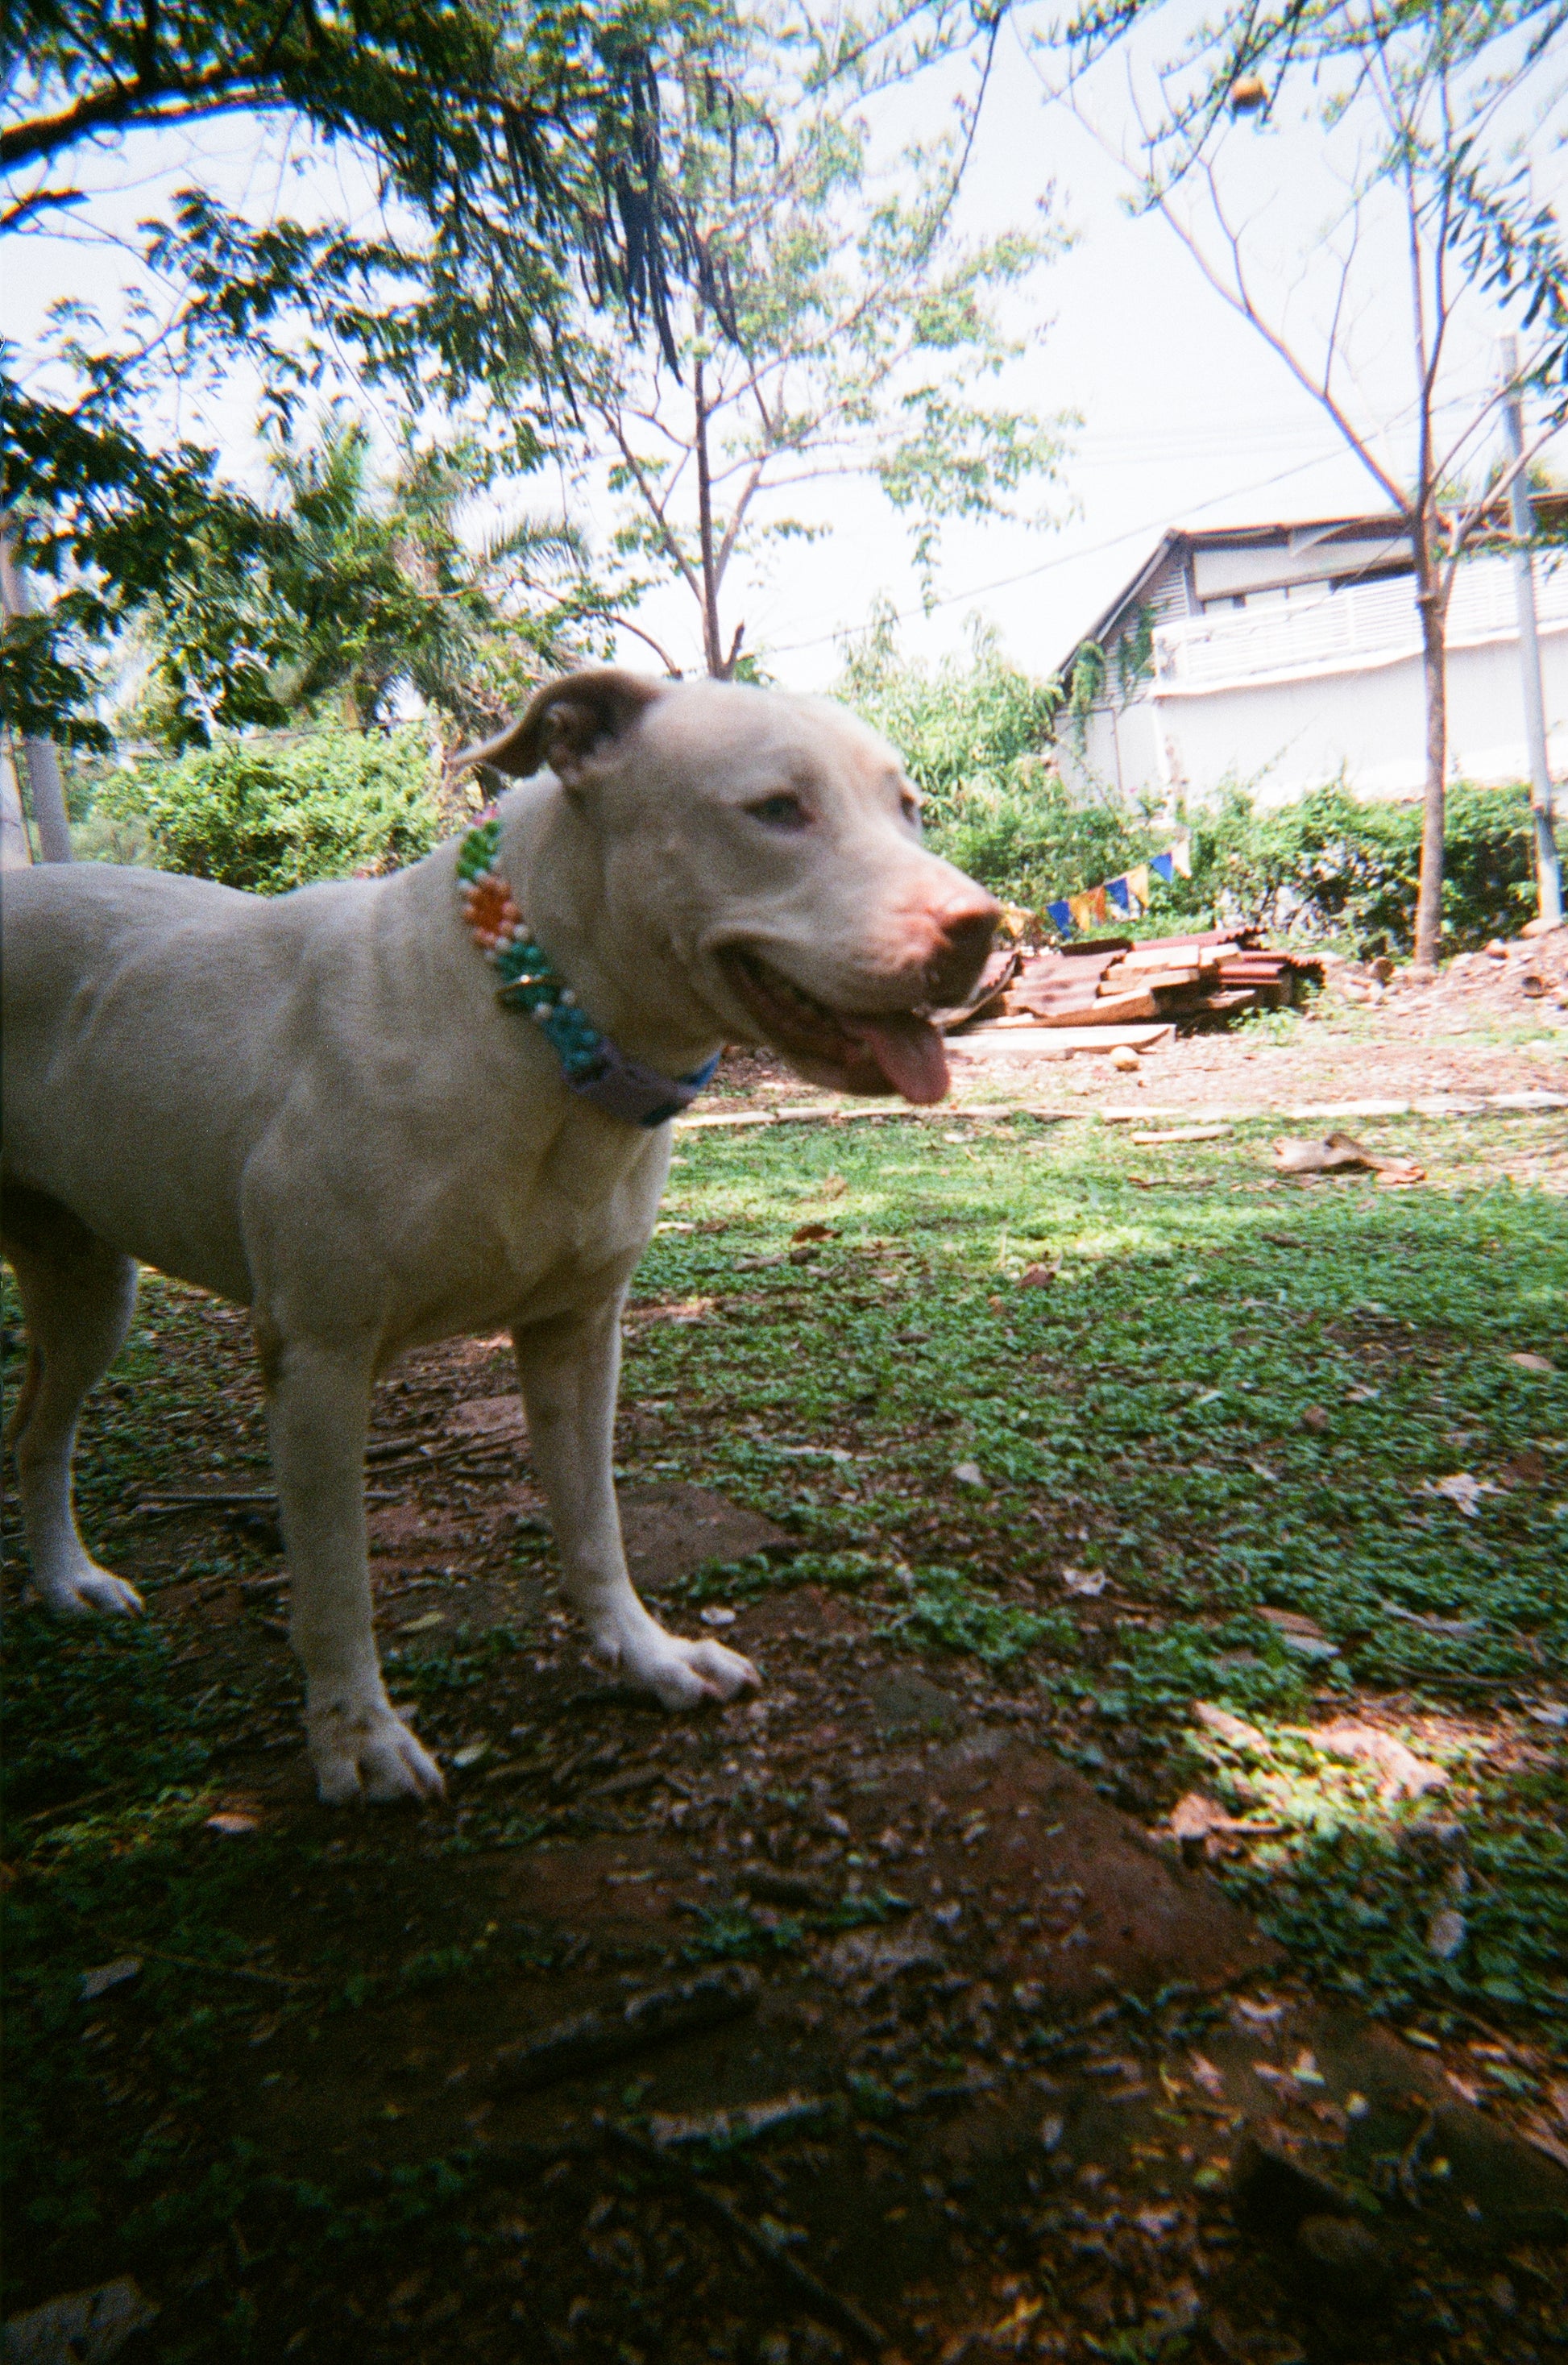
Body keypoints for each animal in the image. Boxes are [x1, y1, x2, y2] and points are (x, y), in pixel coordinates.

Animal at [0, 676, 998, 1797]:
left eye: (908, 808)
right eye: (777, 809)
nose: (980, 927)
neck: (540, 1028)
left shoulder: (577, 1334)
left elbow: (594, 1522)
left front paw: (643, 1654)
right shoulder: (319, 1360)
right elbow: (335, 1578)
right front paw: (357, 1736)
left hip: (87, 1280)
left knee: (37, 1430)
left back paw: (67, 1580)